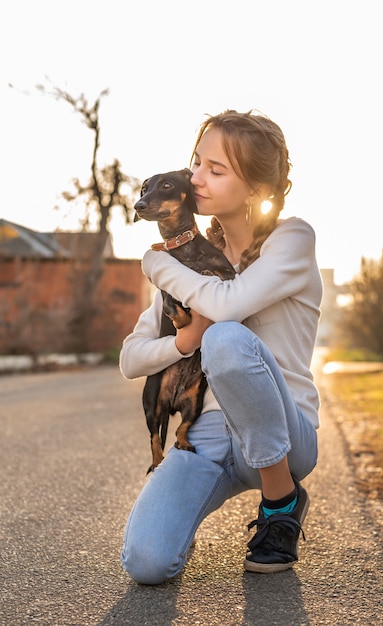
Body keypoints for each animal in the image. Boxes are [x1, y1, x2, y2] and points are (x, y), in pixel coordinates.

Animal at [136, 168, 236, 470]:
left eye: (167, 185)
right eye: (144, 188)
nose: (138, 205)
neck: (182, 249)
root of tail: (173, 402)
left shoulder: (229, 273)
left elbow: (217, 273)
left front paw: (205, 272)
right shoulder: (163, 287)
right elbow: (170, 302)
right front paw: (181, 320)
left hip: (194, 403)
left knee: (182, 427)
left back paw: (184, 443)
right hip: (151, 401)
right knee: (154, 437)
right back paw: (158, 461)